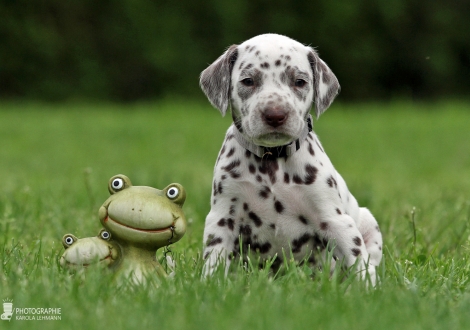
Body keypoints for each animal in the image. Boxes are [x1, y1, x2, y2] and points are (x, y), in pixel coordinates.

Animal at [198, 34, 382, 284]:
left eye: (300, 82)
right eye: (248, 81)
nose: (275, 115)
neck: (272, 160)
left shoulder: (335, 220)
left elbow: (358, 262)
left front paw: (369, 289)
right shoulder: (223, 219)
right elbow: (214, 262)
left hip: (369, 222)